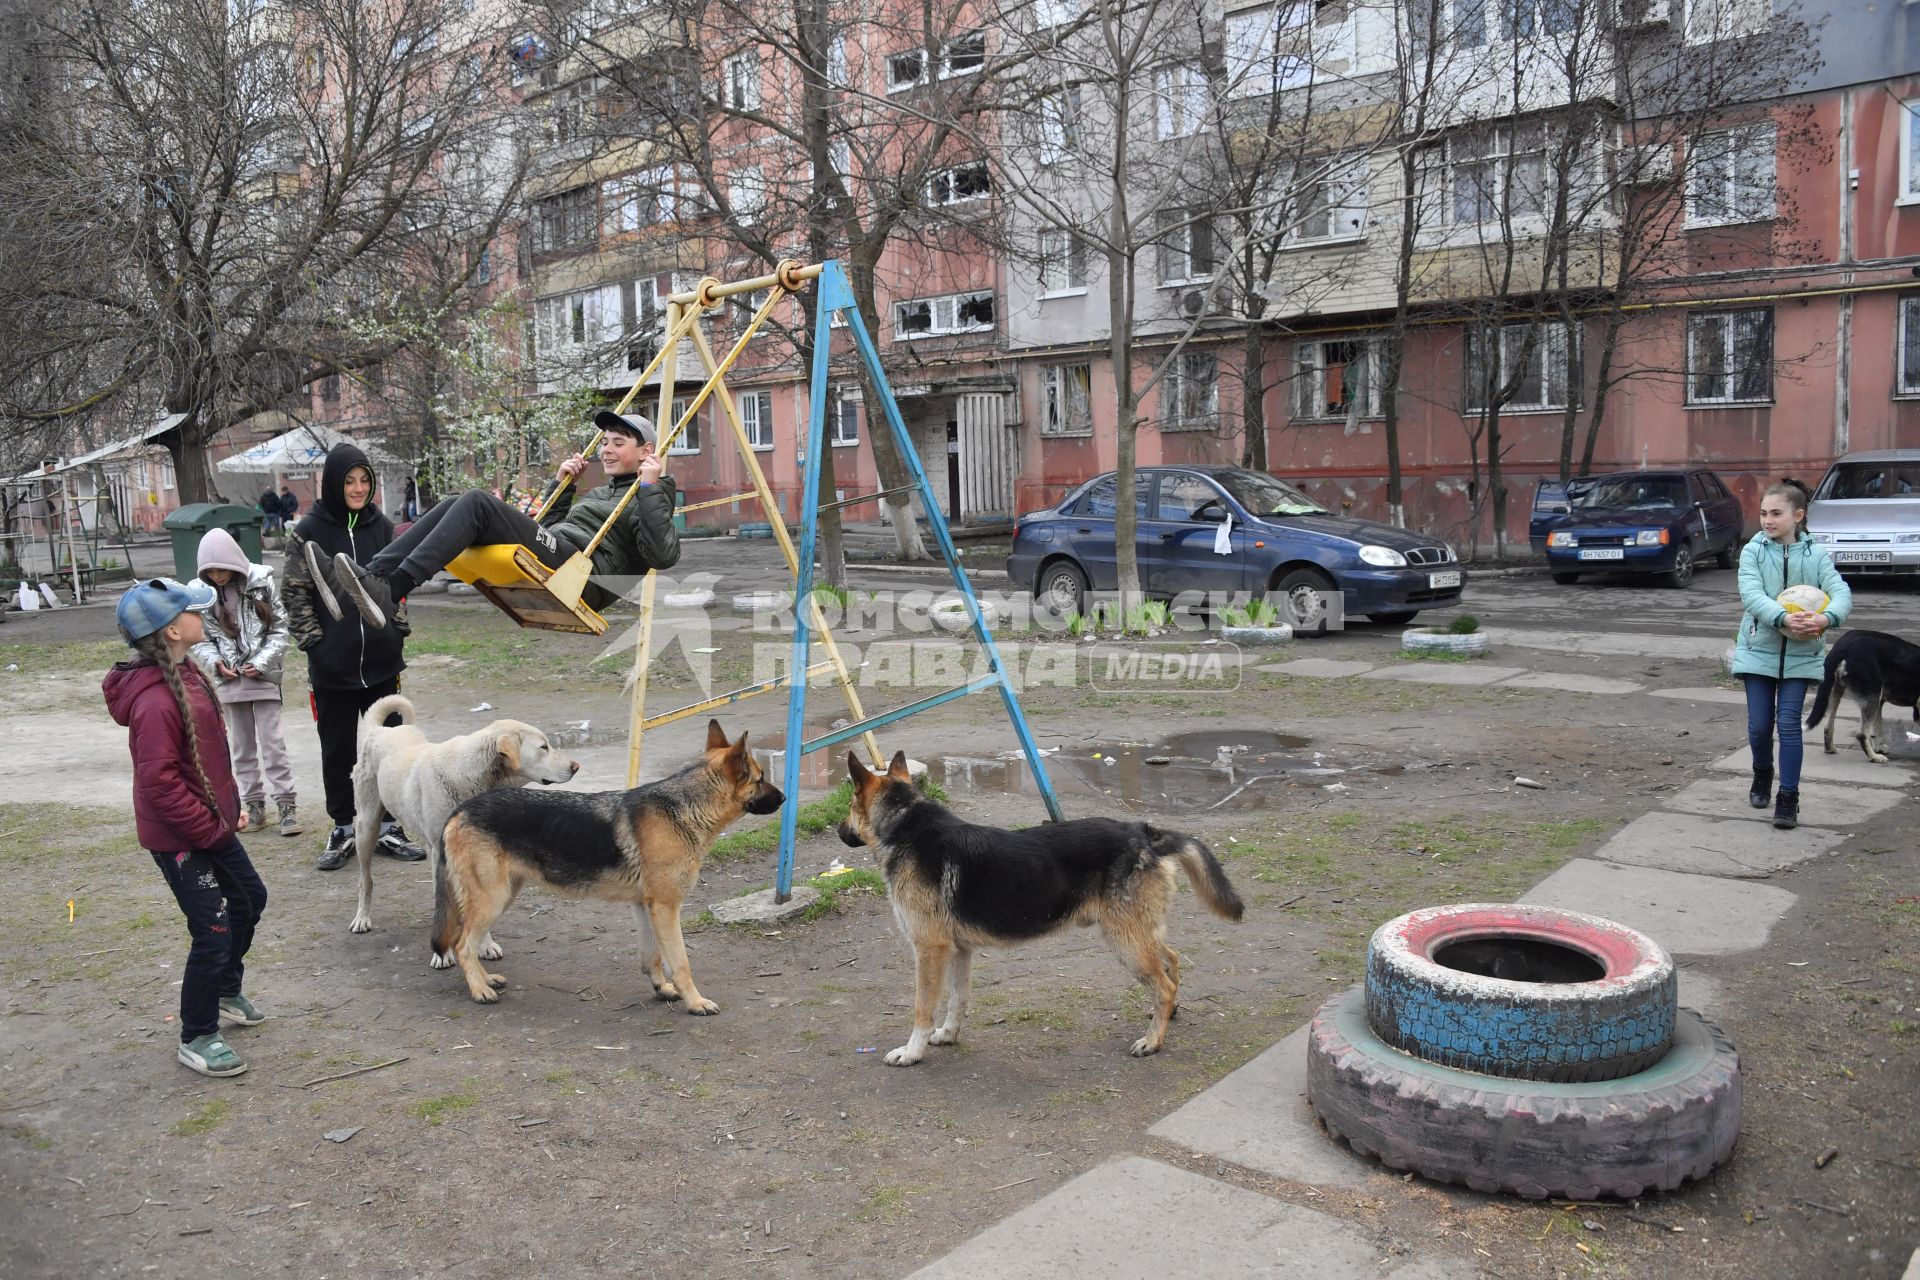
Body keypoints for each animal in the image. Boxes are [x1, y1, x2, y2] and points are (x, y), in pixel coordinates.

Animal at [349, 694, 576, 967]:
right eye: (543, 747)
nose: (576, 766)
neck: (471, 777)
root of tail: (380, 730)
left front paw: (485, 945)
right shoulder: (442, 854)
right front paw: (443, 954)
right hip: (367, 827)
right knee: (365, 880)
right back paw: (362, 918)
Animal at [439, 721, 783, 1013]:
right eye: (760, 778)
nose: (784, 797)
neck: (684, 808)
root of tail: (460, 810)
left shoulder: (646, 907)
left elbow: (651, 956)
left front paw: (662, 988)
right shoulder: (666, 908)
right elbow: (681, 962)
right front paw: (695, 1002)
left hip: (503, 896)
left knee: (465, 942)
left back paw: (486, 979)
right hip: (492, 900)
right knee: (463, 946)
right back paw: (480, 990)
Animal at [840, 744, 1244, 1066]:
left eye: (848, 805)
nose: (840, 831)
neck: (906, 826)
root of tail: (1143, 832)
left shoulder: (930, 951)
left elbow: (922, 1008)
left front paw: (912, 1051)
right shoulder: (958, 951)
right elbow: (958, 999)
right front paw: (949, 1034)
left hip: (1124, 941)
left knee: (1164, 984)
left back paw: (1153, 1040)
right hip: (1137, 931)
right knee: (1171, 960)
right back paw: (1167, 1016)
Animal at [1797, 629, 1920, 759]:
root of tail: (1842, 645)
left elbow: (1877, 727)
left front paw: (1880, 746)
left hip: (1837, 692)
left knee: (1828, 725)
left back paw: (1830, 749)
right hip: (1872, 696)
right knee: (1862, 734)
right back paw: (1874, 757)